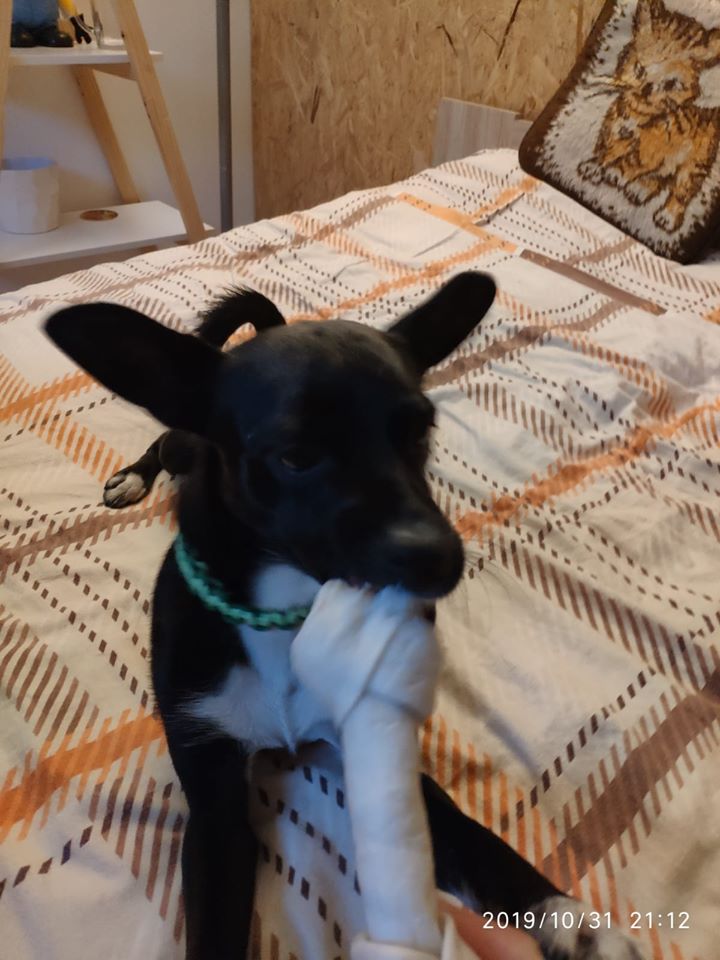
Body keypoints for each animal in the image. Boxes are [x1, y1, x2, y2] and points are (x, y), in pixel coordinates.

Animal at [45, 274, 642, 960]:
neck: (284, 612)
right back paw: (132, 475)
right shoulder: (215, 807)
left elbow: (477, 842)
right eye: (296, 456)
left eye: (420, 433)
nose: (442, 561)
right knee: (165, 441)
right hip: (181, 440)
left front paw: (570, 919)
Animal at [578, 0, 720, 235]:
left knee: (681, 187)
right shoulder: (618, 126)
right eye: (640, 70)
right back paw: (638, 189)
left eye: (671, 84)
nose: (646, 90)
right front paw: (597, 166)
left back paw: (666, 215)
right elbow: (610, 149)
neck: (641, 115)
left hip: (699, 157)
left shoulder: (674, 147)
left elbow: (637, 161)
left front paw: (617, 172)